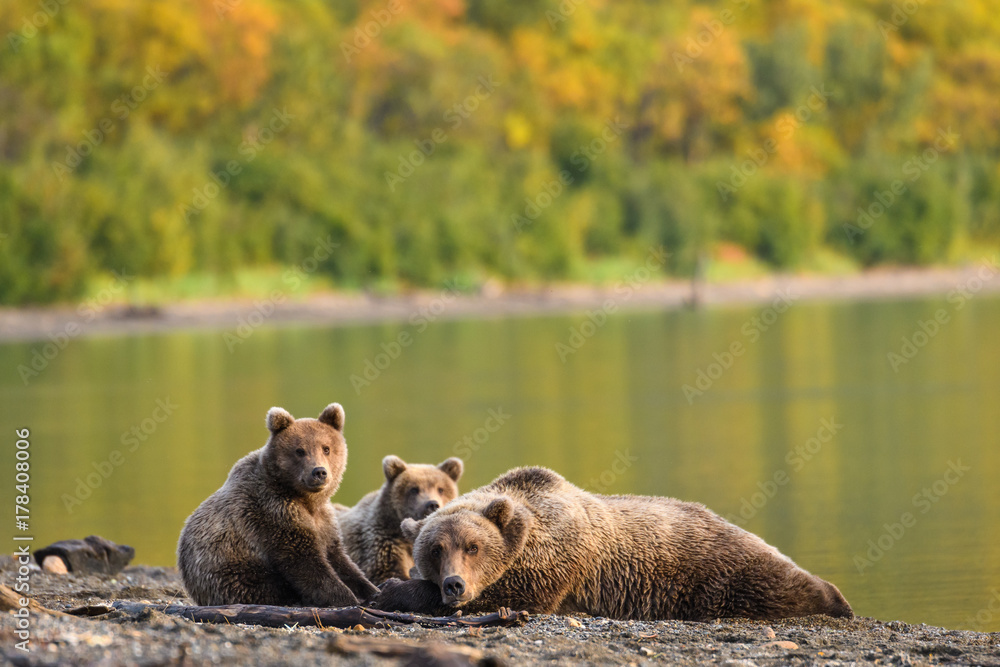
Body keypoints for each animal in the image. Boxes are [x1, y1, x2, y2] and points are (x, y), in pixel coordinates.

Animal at [177, 403, 379, 607]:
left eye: (326, 448)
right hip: (230, 570)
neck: (307, 500)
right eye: (300, 450)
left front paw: (372, 590)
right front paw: (348, 598)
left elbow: (340, 560)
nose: (319, 472)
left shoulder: (326, 522)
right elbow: (305, 562)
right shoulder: (274, 510)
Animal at [372, 467, 853, 622]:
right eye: (435, 550)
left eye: (473, 547)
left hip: (720, 568)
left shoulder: (556, 558)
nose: (454, 584)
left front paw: (395, 589)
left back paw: (835, 599)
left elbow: (517, 595)